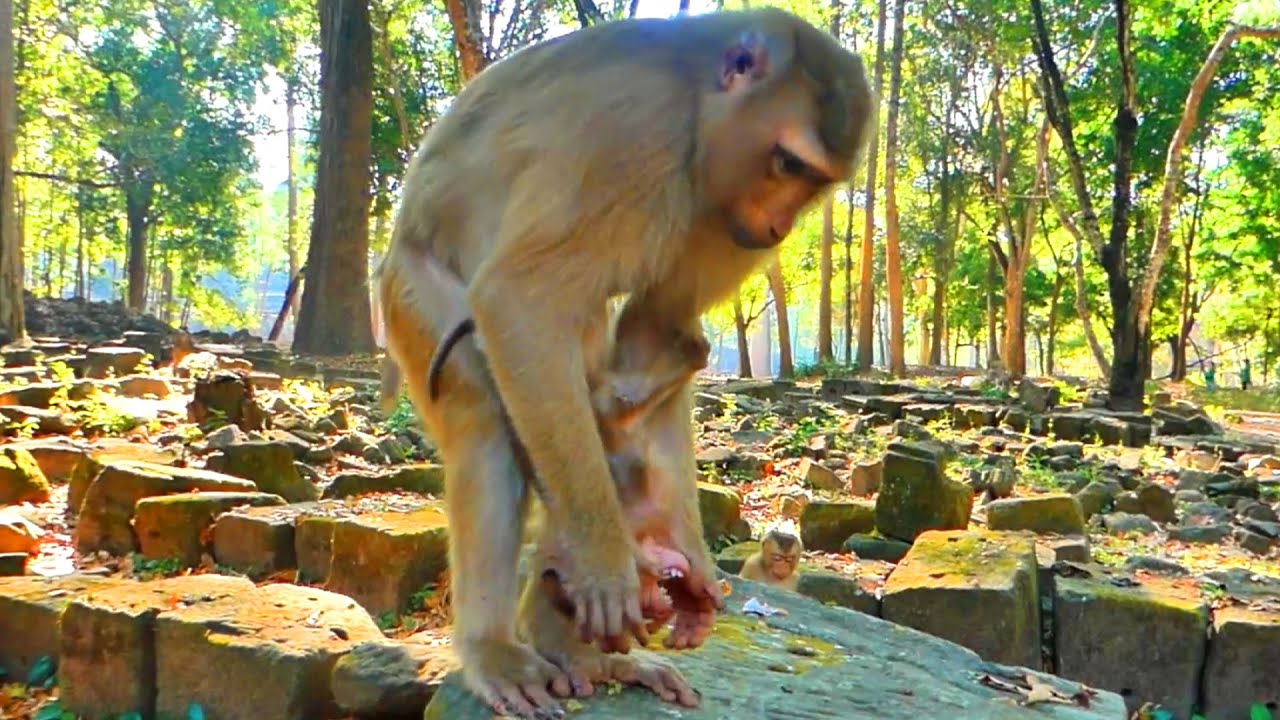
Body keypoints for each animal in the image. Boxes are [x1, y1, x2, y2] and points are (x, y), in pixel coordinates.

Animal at [376, 8, 875, 718]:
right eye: (786, 160)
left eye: (813, 182)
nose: (780, 226)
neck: (698, 116)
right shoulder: (634, 141)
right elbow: (521, 298)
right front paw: (609, 567)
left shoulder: (718, 219)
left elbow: (660, 322)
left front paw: (681, 554)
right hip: (411, 294)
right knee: (486, 402)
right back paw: (497, 647)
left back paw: (579, 647)